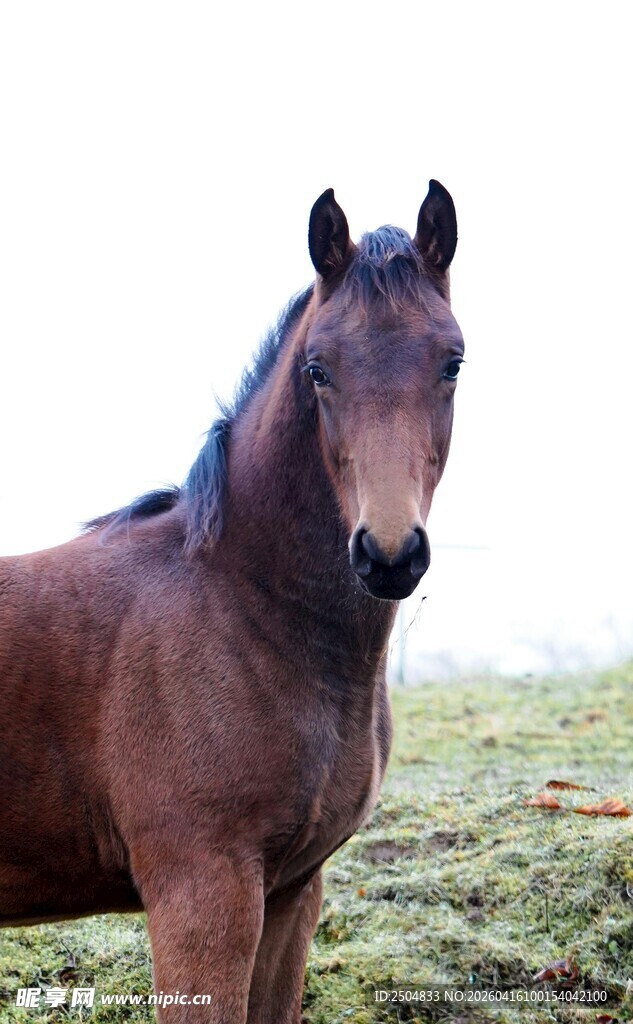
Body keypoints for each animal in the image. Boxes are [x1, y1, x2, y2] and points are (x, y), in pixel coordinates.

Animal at [0, 181, 463, 1022]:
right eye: (317, 368)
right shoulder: (202, 890)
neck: (245, 608)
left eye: (452, 361)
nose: (387, 554)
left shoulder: (291, 891)